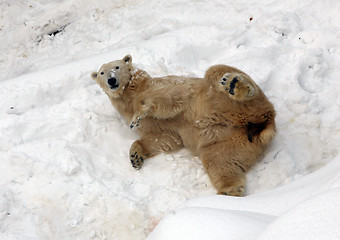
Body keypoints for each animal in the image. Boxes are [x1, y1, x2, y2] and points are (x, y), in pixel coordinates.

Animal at [91, 54, 276, 197]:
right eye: (101, 72)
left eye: (117, 66)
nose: (111, 80)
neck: (131, 92)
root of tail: (263, 123)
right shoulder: (158, 126)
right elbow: (165, 137)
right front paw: (135, 156)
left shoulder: (164, 86)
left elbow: (167, 98)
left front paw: (140, 112)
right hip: (230, 143)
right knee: (220, 162)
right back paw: (227, 191)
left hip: (226, 101)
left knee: (218, 72)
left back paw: (233, 84)